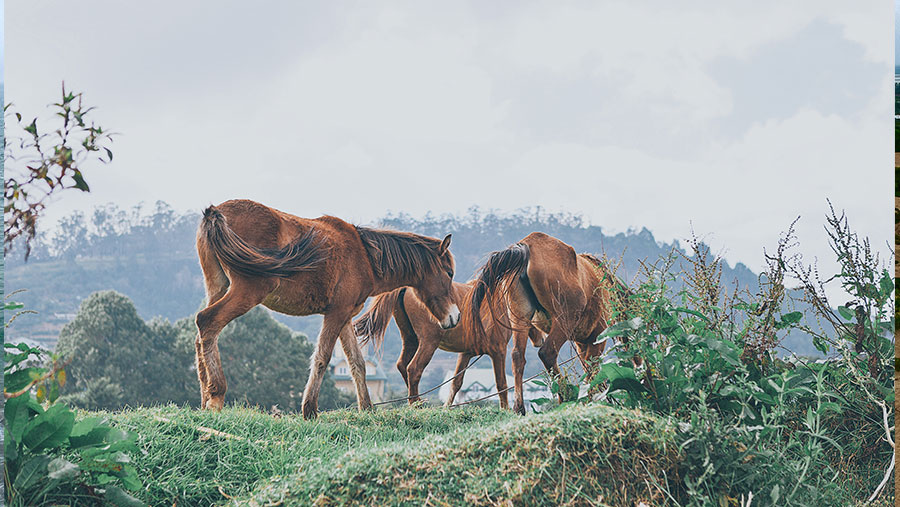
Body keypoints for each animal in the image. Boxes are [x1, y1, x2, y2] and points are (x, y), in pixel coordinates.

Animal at [194, 199, 460, 420]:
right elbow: (322, 358)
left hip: (217, 287)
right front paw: (310, 410)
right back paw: (216, 395)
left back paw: (205, 398)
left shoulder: (345, 317)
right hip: (247, 292)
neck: (365, 256)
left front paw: (366, 407)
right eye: (449, 273)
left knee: (200, 336)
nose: (455, 317)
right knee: (208, 322)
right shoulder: (336, 314)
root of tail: (216, 212)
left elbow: (357, 363)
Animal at [350, 280, 540, 410]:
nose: (539, 341)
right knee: (414, 368)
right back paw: (415, 403)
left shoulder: (466, 353)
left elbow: (456, 383)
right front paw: (505, 409)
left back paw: (416, 400)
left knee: (402, 365)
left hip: (410, 339)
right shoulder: (498, 351)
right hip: (428, 341)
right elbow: (501, 384)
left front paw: (447, 407)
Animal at [472, 232, 624, 414]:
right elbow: (592, 368)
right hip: (564, 320)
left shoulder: (582, 343)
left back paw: (519, 407)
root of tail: (526, 247)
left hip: (520, 318)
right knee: (547, 353)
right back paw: (565, 395)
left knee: (517, 356)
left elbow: (588, 367)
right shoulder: (597, 337)